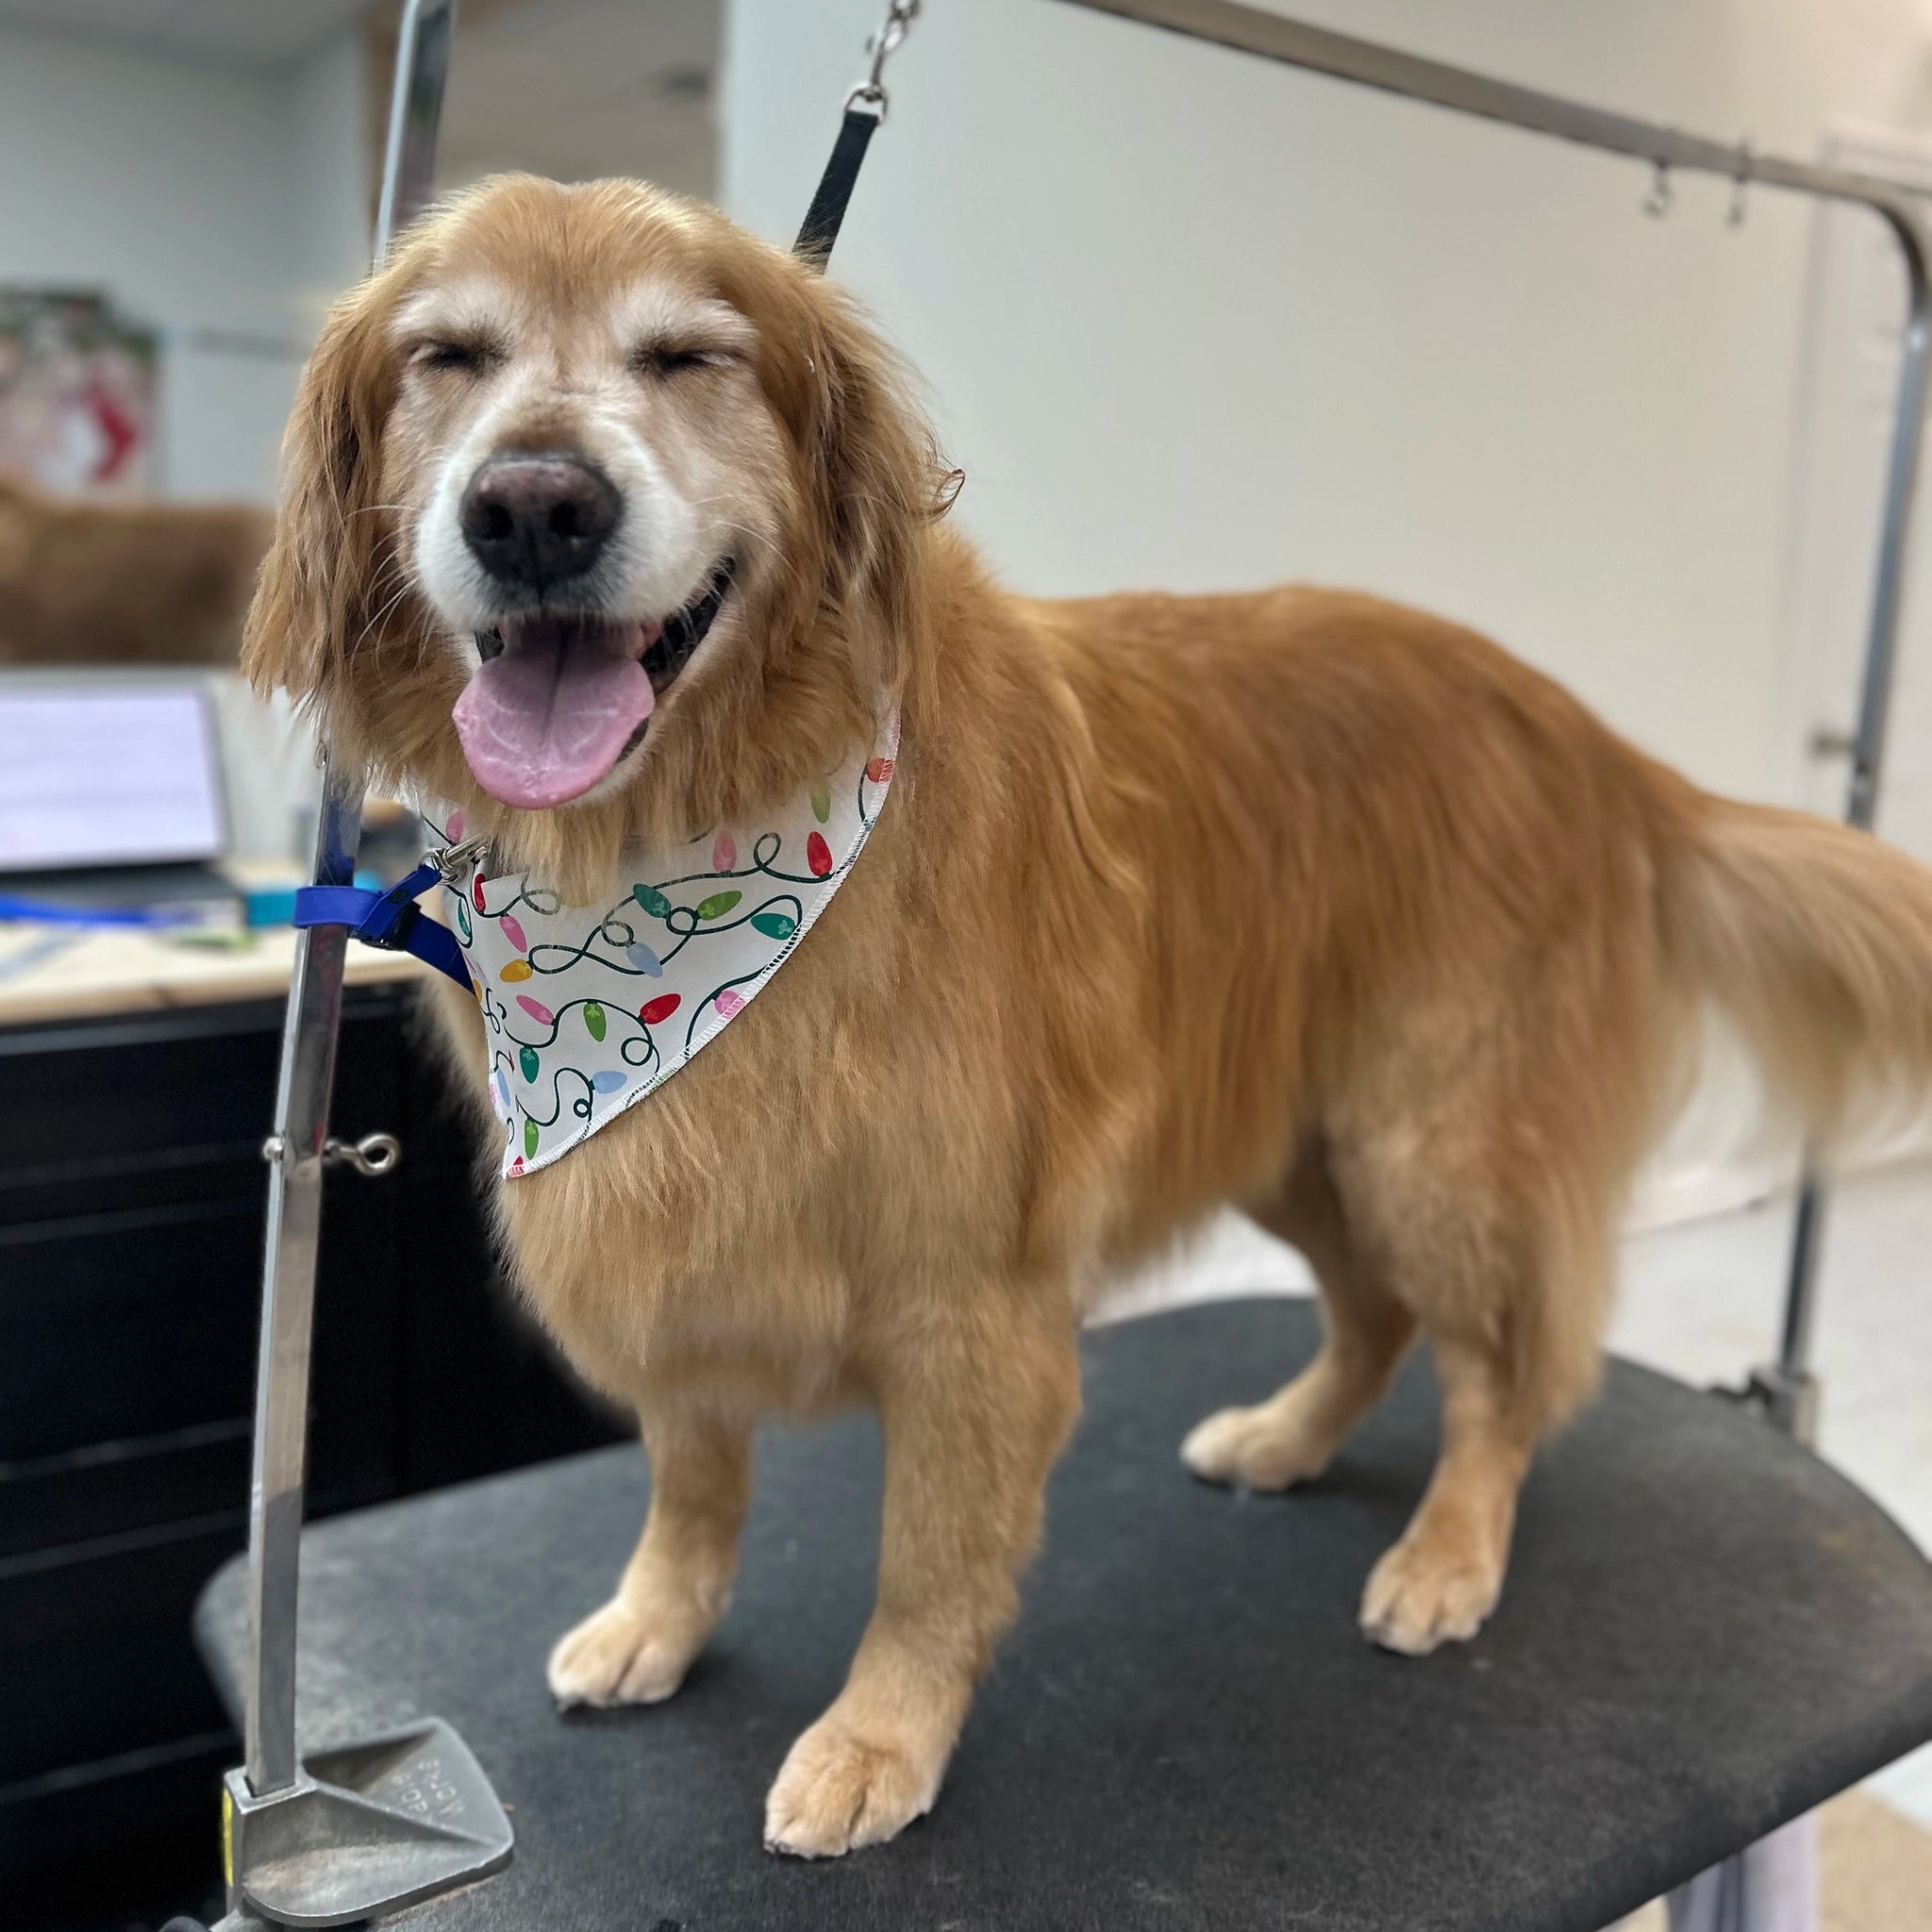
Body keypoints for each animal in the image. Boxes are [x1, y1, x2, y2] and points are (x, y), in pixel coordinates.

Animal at [242, 174, 1932, 1858]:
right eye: (448, 357)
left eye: (688, 358)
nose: (533, 507)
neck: (675, 851)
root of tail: (1594, 738)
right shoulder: (673, 1224)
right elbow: (691, 1469)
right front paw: (661, 1614)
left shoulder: (972, 1296)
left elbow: (928, 1561)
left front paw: (881, 1734)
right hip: (1295, 1135)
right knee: (1377, 1314)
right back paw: (1285, 1440)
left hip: (1431, 1147)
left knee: (1500, 1373)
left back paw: (1451, 1552)